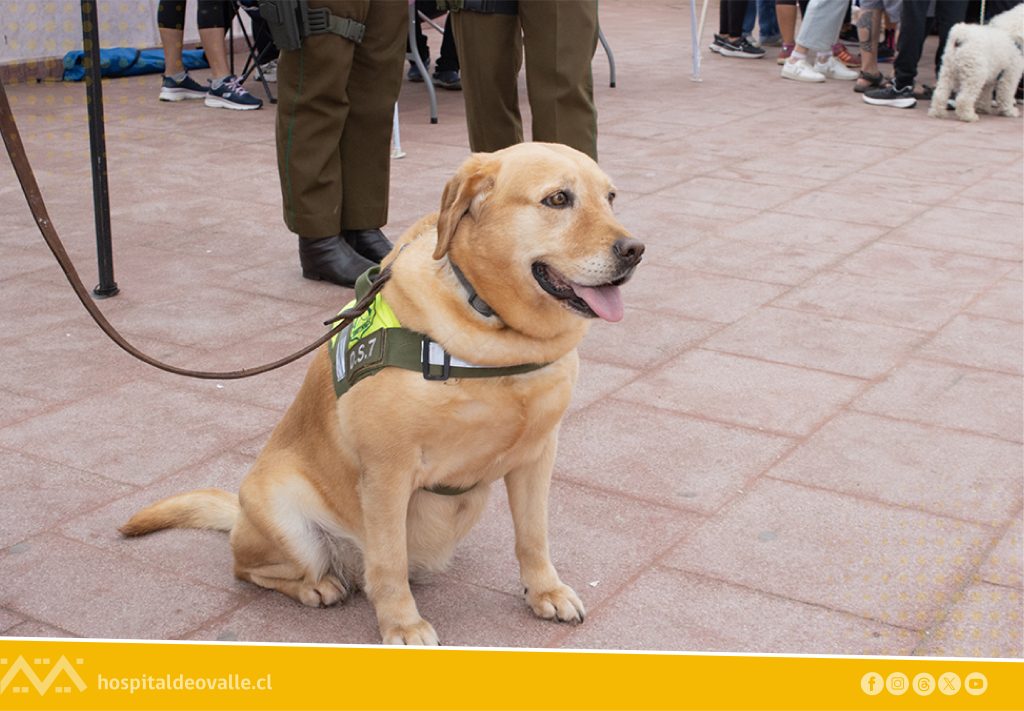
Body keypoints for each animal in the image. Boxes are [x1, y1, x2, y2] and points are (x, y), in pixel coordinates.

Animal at [121, 143, 644, 645]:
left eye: (611, 197)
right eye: (557, 199)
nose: (635, 249)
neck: (496, 335)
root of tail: (239, 513)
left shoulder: (537, 455)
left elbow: (533, 537)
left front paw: (545, 591)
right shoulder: (388, 470)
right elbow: (389, 562)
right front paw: (402, 625)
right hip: (285, 515)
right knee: (253, 569)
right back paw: (318, 586)